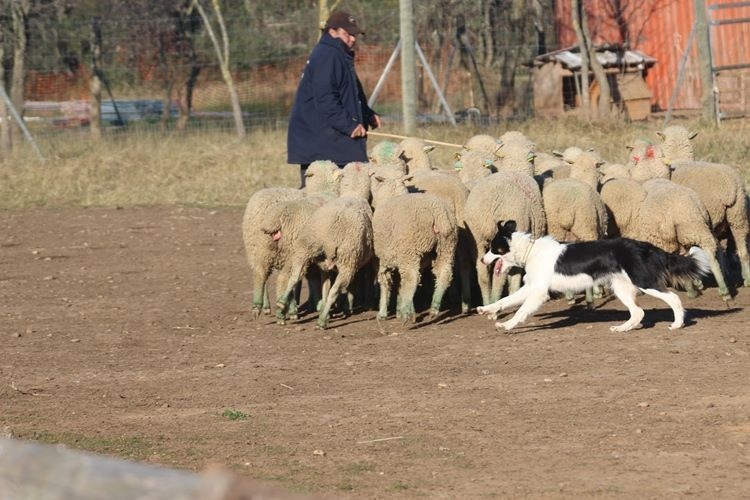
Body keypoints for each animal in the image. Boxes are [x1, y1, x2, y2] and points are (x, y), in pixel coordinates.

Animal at [276, 195, 376, 328]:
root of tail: (331, 236)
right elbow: (349, 286)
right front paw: (346, 309)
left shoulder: (326, 267)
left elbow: (325, 288)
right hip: (347, 261)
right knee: (334, 291)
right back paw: (322, 321)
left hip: (306, 246)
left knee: (294, 277)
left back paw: (281, 303)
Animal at [374, 191, 462, 320]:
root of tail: (438, 214)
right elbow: (401, 285)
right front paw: (400, 310)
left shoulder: (384, 261)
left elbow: (386, 283)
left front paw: (383, 313)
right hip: (447, 246)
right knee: (444, 274)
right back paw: (433, 309)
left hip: (410, 250)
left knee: (412, 278)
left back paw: (407, 313)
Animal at [604, 177, 732, 300]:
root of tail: (691, 208)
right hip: (699, 228)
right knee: (711, 254)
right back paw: (724, 290)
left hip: (681, 234)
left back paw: (694, 291)